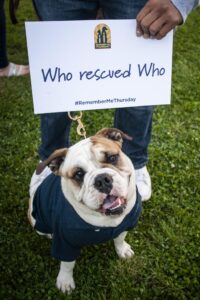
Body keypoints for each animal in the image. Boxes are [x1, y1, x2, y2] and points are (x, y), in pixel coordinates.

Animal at [28, 128, 141, 292]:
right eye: (78, 174)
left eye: (112, 157)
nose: (102, 180)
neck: (106, 219)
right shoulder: (64, 243)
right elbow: (67, 264)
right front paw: (65, 281)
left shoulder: (125, 225)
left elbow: (120, 238)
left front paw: (122, 250)